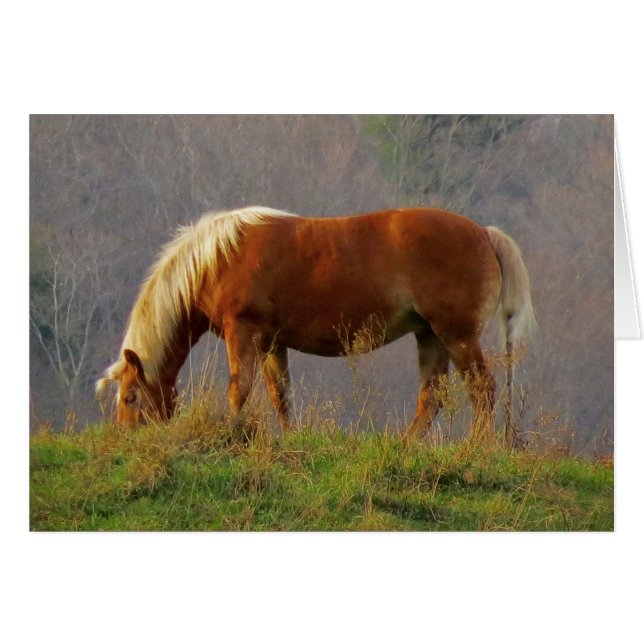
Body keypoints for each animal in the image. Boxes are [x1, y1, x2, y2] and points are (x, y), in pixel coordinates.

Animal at [96, 206, 535, 442]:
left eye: (131, 398)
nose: (124, 438)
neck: (217, 258)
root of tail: (483, 233)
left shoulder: (244, 332)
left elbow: (240, 388)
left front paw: (233, 432)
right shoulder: (271, 342)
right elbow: (280, 396)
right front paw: (288, 440)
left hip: (457, 336)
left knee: (483, 389)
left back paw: (476, 447)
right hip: (431, 336)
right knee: (432, 398)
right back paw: (407, 445)